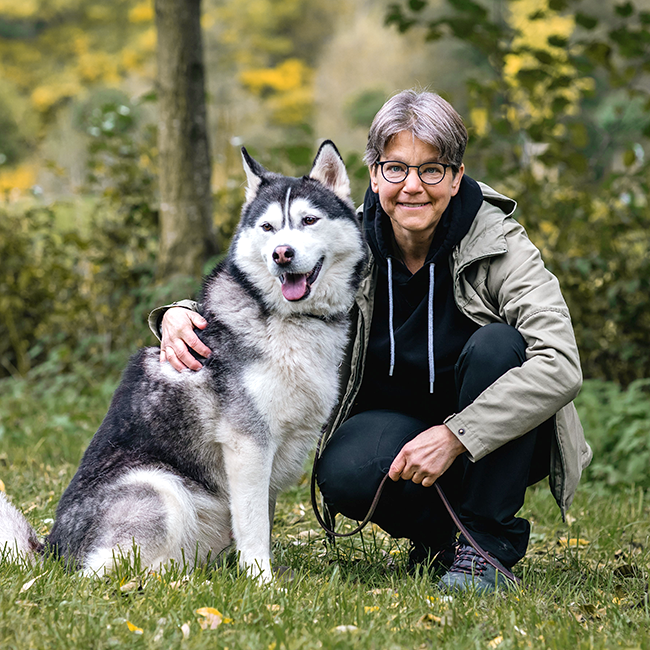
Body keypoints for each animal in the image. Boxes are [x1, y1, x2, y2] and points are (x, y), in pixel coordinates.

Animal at [0, 140, 364, 576]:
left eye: (309, 220)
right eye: (268, 228)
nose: (282, 254)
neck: (288, 319)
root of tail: (53, 551)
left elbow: (261, 517)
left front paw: (262, 573)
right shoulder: (248, 445)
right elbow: (254, 522)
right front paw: (261, 580)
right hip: (159, 485)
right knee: (102, 573)